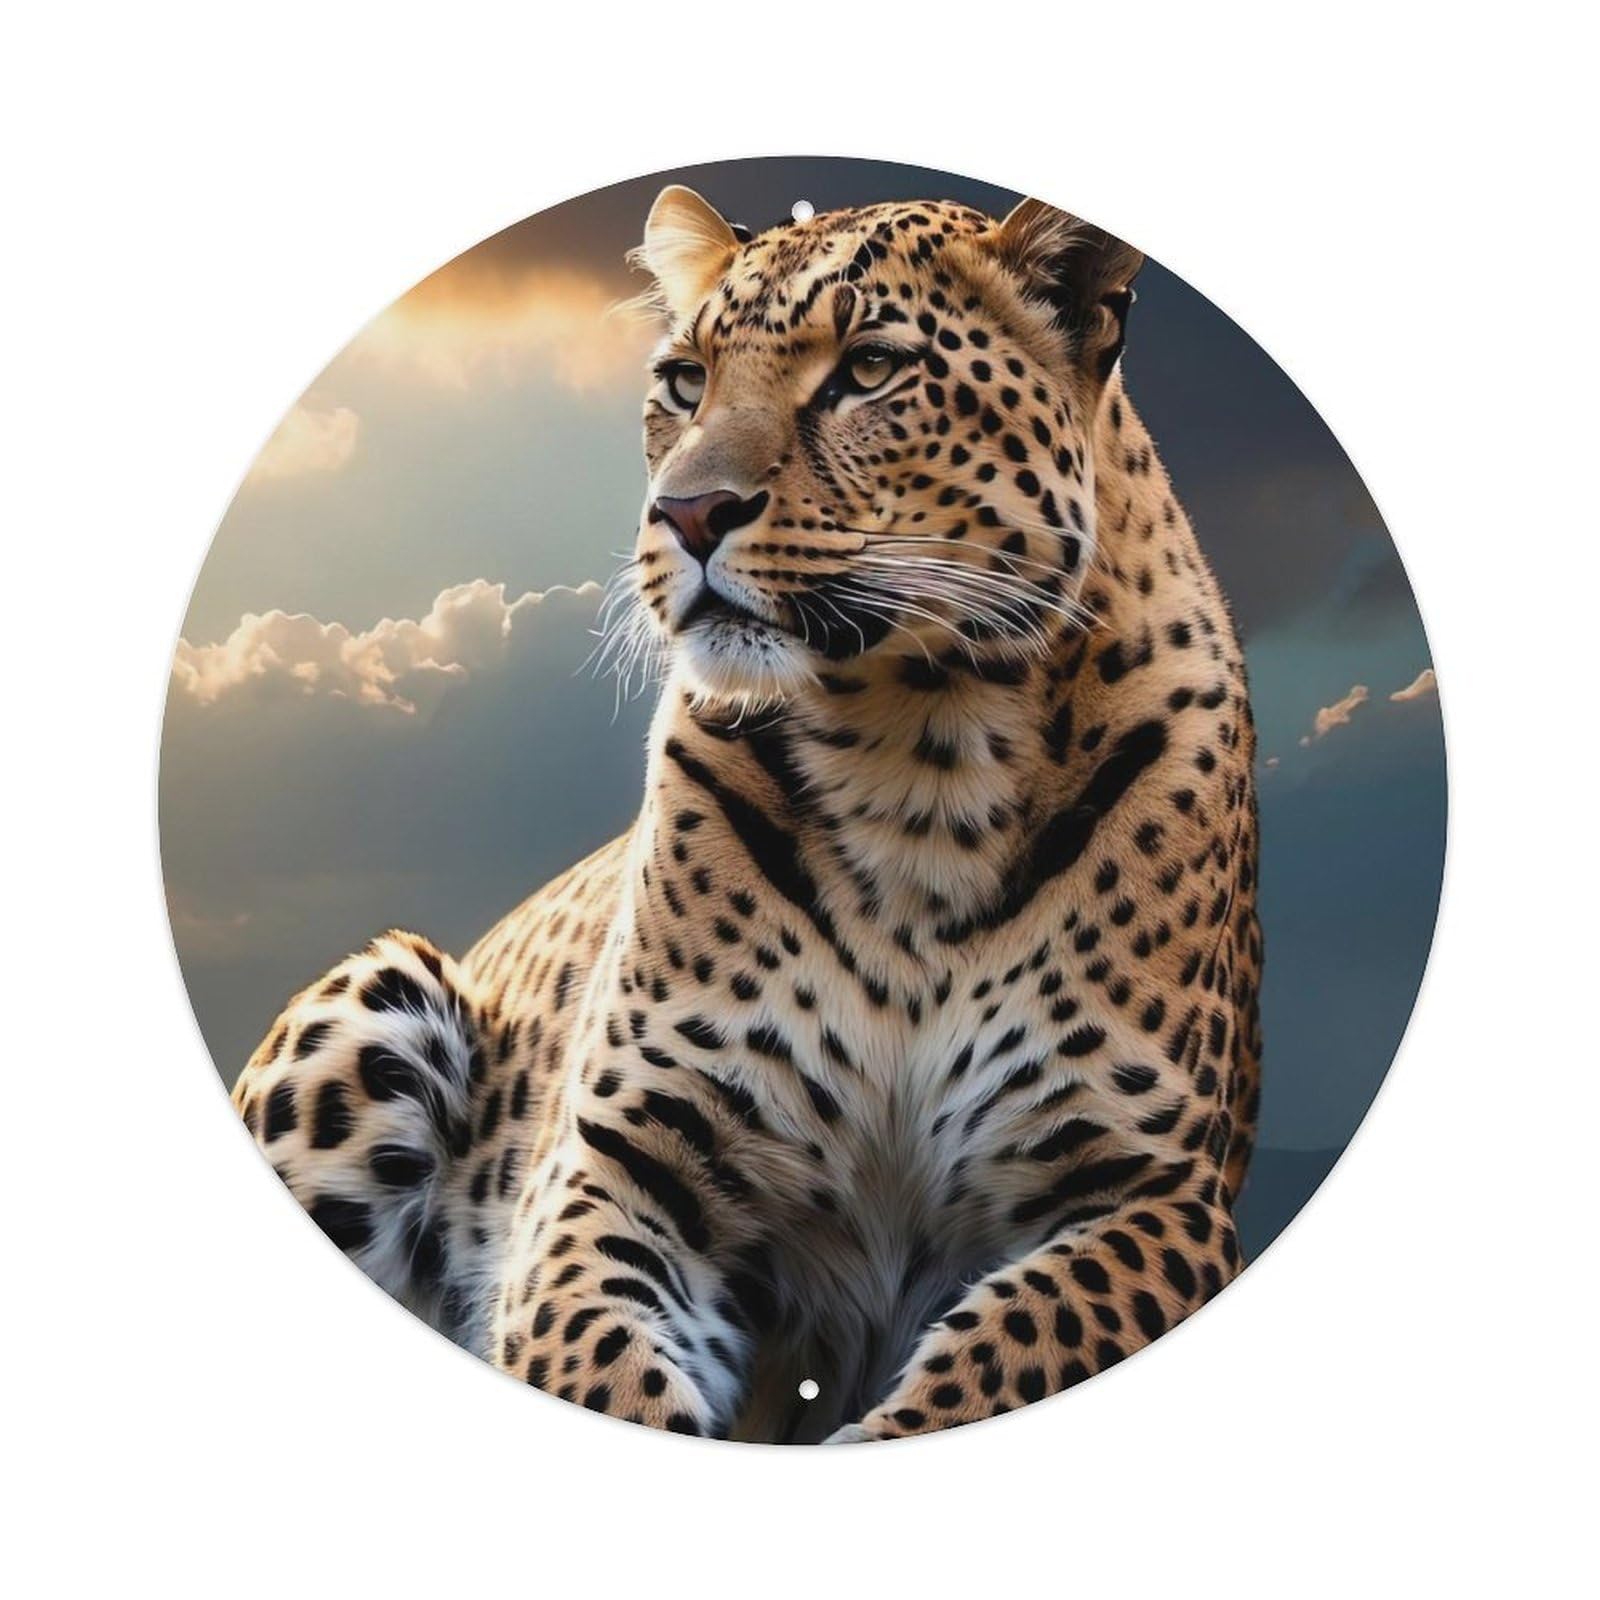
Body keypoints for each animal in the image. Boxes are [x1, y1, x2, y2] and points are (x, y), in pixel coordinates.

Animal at [230, 185, 1263, 1443]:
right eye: (684, 381)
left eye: (869, 369)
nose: (688, 511)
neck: (921, 761)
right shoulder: (620, 1160)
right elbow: (605, 1367)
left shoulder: (1151, 1193)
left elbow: (990, 1369)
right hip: (378, 994)